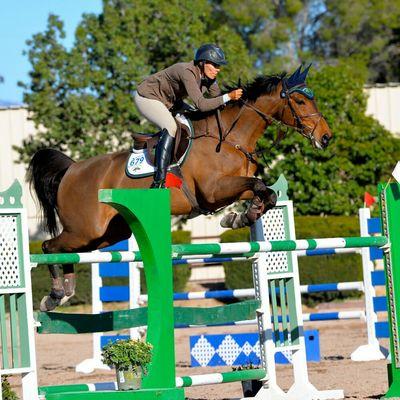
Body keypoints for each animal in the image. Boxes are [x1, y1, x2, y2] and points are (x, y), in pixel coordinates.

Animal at [28, 65, 332, 310]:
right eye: (300, 100)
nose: (326, 137)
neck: (230, 138)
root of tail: (71, 170)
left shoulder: (231, 188)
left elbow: (264, 192)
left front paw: (241, 216)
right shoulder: (213, 191)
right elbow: (257, 185)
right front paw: (239, 217)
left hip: (106, 233)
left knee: (67, 250)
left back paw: (64, 292)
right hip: (85, 228)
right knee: (48, 245)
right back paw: (55, 294)